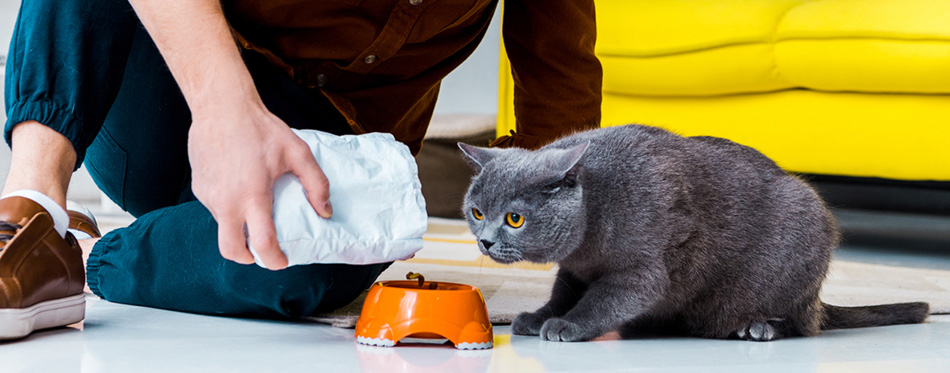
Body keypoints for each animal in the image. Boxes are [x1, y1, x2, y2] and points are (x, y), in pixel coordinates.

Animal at [460, 124, 928, 340]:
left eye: (514, 219)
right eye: (477, 212)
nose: (485, 240)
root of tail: (817, 301)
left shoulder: (642, 269)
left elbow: (603, 299)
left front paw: (567, 325)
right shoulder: (575, 268)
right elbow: (563, 292)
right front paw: (539, 316)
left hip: (802, 230)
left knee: (800, 324)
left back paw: (758, 327)